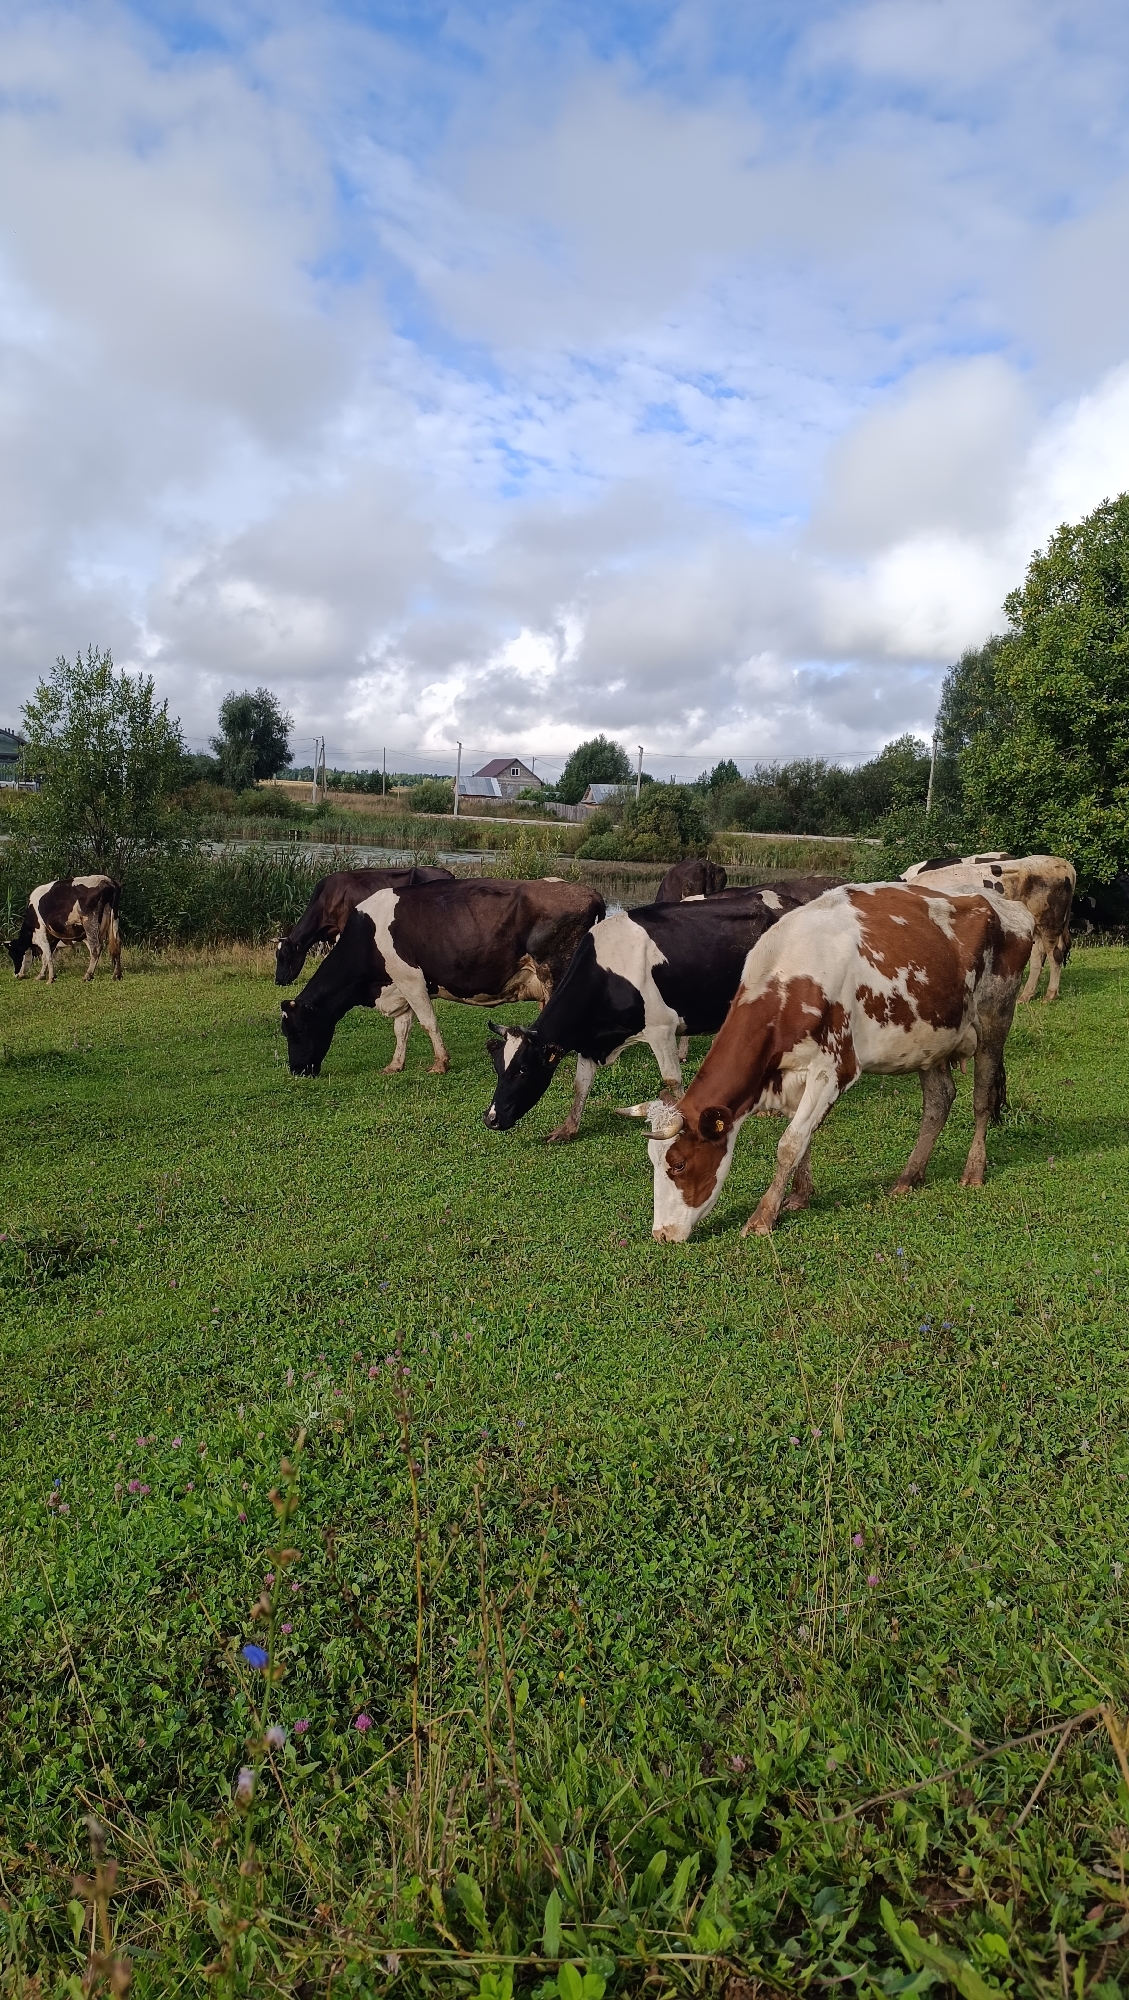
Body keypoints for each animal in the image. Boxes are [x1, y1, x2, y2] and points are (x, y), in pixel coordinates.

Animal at [280, 877, 606, 1077]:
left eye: (295, 1031)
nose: (297, 1070)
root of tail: (590, 892)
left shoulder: (410, 978)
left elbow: (428, 1022)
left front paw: (440, 1063)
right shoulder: (399, 985)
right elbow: (402, 1028)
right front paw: (395, 1065)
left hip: (556, 972)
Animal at [483, 878, 844, 1141]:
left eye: (523, 1070)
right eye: (499, 1068)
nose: (491, 1119)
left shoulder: (661, 1028)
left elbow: (672, 1079)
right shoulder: (591, 1040)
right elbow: (580, 1084)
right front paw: (567, 1129)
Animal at [627, 882, 1033, 1243]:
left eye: (678, 1163)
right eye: (652, 1160)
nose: (662, 1235)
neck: (791, 978)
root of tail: (1005, 903)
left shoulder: (834, 1069)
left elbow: (790, 1142)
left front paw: (762, 1217)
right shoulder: (792, 1073)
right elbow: (801, 1138)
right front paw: (799, 1196)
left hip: (995, 1017)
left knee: (982, 1096)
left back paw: (973, 1170)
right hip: (929, 1038)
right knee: (939, 1101)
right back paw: (909, 1177)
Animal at [902, 853, 1075, 1001]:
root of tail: (1064, 863)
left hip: (1050, 923)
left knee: (1055, 954)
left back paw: (1050, 995)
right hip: (1037, 927)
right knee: (1037, 958)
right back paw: (1025, 996)